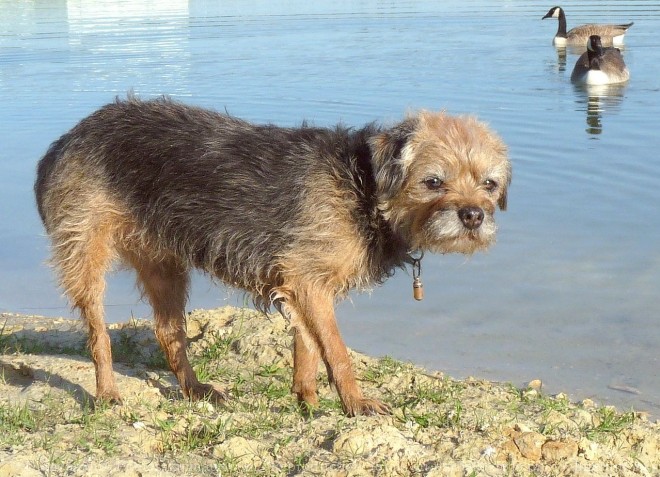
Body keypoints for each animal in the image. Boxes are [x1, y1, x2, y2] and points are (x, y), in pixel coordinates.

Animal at [34, 97, 510, 416]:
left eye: (489, 184)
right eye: (433, 181)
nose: (473, 215)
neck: (365, 187)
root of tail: (68, 137)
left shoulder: (304, 287)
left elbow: (309, 348)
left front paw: (308, 400)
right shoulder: (308, 283)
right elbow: (336, 351)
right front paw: (355, 402)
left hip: (164, 266)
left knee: (169, 332)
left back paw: (194, 389)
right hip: (86, 255)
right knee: (99, 335)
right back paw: (107, 392)